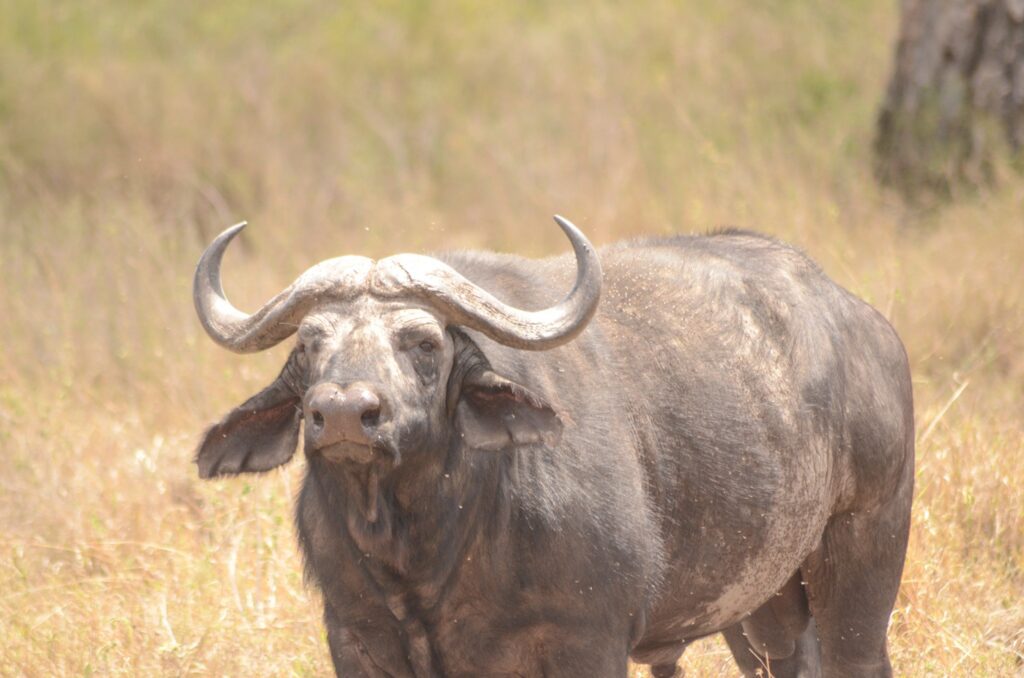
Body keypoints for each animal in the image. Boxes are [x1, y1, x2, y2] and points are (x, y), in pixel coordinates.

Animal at [192, 219, 913, 678]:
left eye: (423, 342)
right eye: (310, 342)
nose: (343, 413)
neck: (428, 547)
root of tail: (867, 327)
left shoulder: (587, 640)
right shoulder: (355, 637)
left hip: (866, 547)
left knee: (858, 659)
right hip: (761, 602)